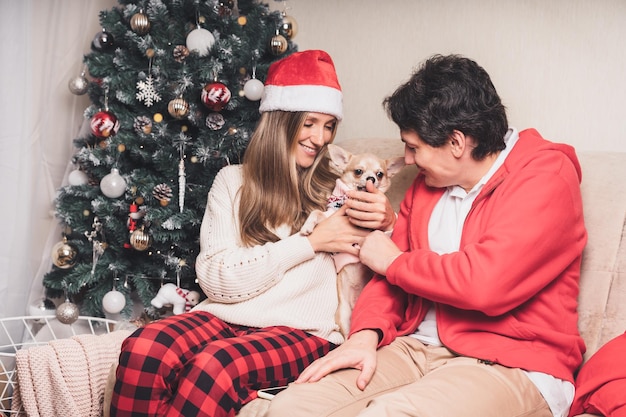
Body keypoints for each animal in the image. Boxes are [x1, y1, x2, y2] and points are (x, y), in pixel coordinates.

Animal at [298, 144, 404, 338]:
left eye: (380, 174)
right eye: (358, 171)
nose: (371, 178)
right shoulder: (329, 217)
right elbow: (316, 212)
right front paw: (307, 226)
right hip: (344, 315)